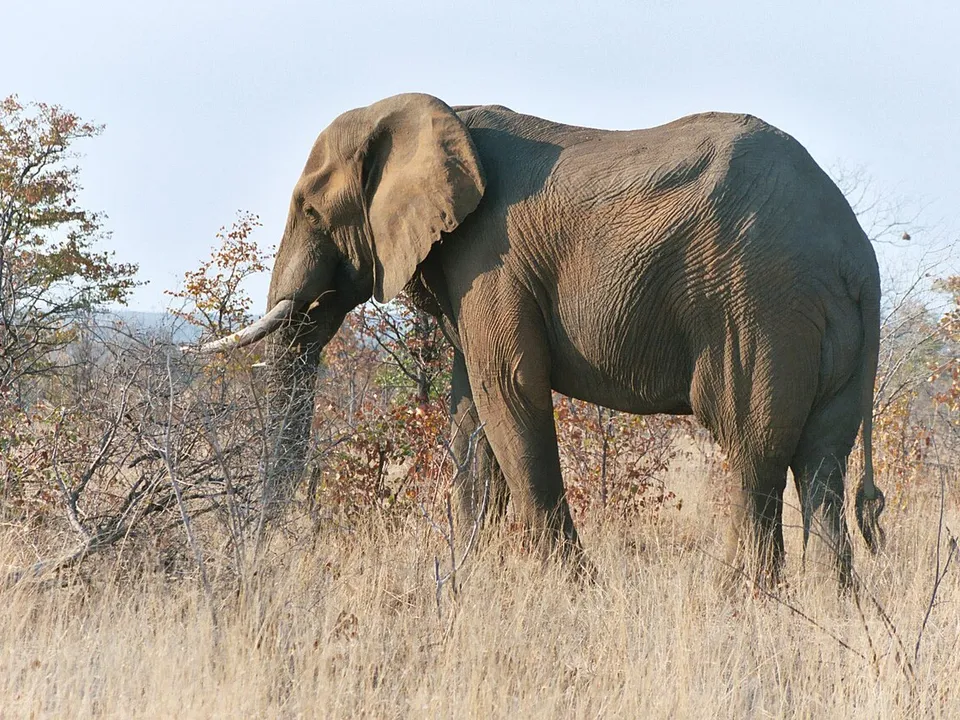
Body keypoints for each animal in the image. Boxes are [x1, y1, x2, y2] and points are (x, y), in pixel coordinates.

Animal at [196, 93, 885, 587]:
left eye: (311, 212)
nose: (262, 555)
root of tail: (858, 255)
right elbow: (471, 412)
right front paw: (473, 577)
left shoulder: (491, 256)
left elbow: (508, 391)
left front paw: (573, 591)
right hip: (821, 325)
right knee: (822, 463)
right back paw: (830, 611)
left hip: (760, 307)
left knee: (753, 452)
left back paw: (739, 605)